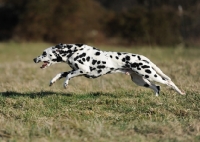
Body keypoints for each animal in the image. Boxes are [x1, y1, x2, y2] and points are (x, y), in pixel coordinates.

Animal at [32, 43, 184, 96]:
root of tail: (144, 58)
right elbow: (61, 73)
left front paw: (65, 84)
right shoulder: (75, 70)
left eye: (44, 53)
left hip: (150, 74)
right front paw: (52, 81)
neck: (73, 51)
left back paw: (181, 93)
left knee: (168, 82)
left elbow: (68, 76)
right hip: (140, 80)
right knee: (157, 87)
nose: (34, 59)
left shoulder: (83, 70)